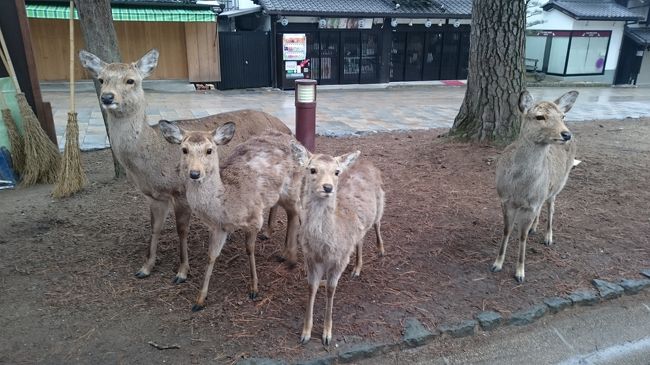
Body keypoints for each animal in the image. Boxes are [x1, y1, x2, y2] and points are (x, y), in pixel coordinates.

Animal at [79, 48, 292, 282]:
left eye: (130, 80)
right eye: (101, 79)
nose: (107, 97)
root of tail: (286, 127)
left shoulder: (180, 191)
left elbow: (181, 230)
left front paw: (182, 272)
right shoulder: (153, 196)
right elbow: (155, 228)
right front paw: (146, 267)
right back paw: (266, 232)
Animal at [157, 121, 302, 308]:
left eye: (209, 150)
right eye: (184, 149)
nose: (195, 173)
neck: (226, 204)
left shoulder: (254, 218)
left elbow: (249, 249)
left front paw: (254, 289)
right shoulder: (218, 227)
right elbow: (211, 255)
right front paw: (199, 299)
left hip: (293, 187)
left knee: (295, 212)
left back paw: (290, 256)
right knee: (288, 210)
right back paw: (279, 246)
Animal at [290, 142, 384, 344]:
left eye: (337, 172)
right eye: (312, 169)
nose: (327, 187)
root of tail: (366, 161)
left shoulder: (339, 259)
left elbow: (331, 290)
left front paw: (327, 334)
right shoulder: (310, 258)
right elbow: (311, 287)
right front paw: (305, 333)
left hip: (381, 202)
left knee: (378, 223)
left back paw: (381, 250)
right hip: (359, 229)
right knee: (360, 240)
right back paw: (357, 268)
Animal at [488, 89, 576, 282]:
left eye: (562, 116)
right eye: (539, 116)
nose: (566, 134)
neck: (520, 188)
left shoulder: (531, 205)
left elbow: (521, 237)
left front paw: (520, 272)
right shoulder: (504, 200)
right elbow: (506, 230)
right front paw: (496, 264)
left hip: (559, 184)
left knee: (551, 206)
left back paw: (548, 237)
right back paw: (534, 228)